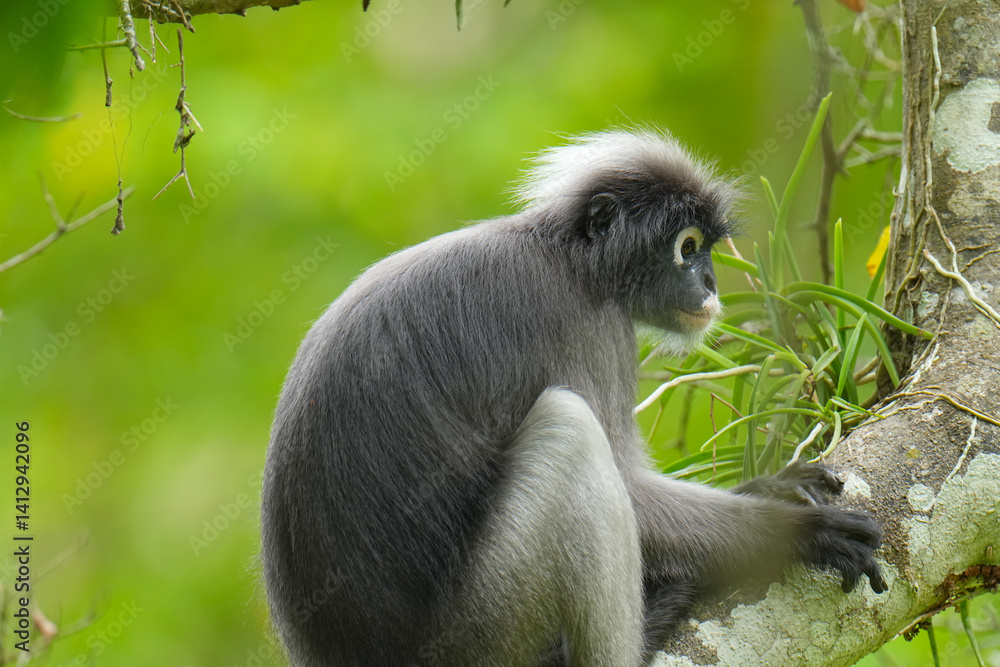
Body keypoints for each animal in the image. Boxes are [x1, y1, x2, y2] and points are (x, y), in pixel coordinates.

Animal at [260, 129, 886, 667]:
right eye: (687, 248)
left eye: (706, 250)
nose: (709, 285)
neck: (567, 258)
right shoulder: (588, 325)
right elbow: (630, 488)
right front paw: (794, 533)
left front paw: (772, 486)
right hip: (482, 634)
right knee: (570, 432)